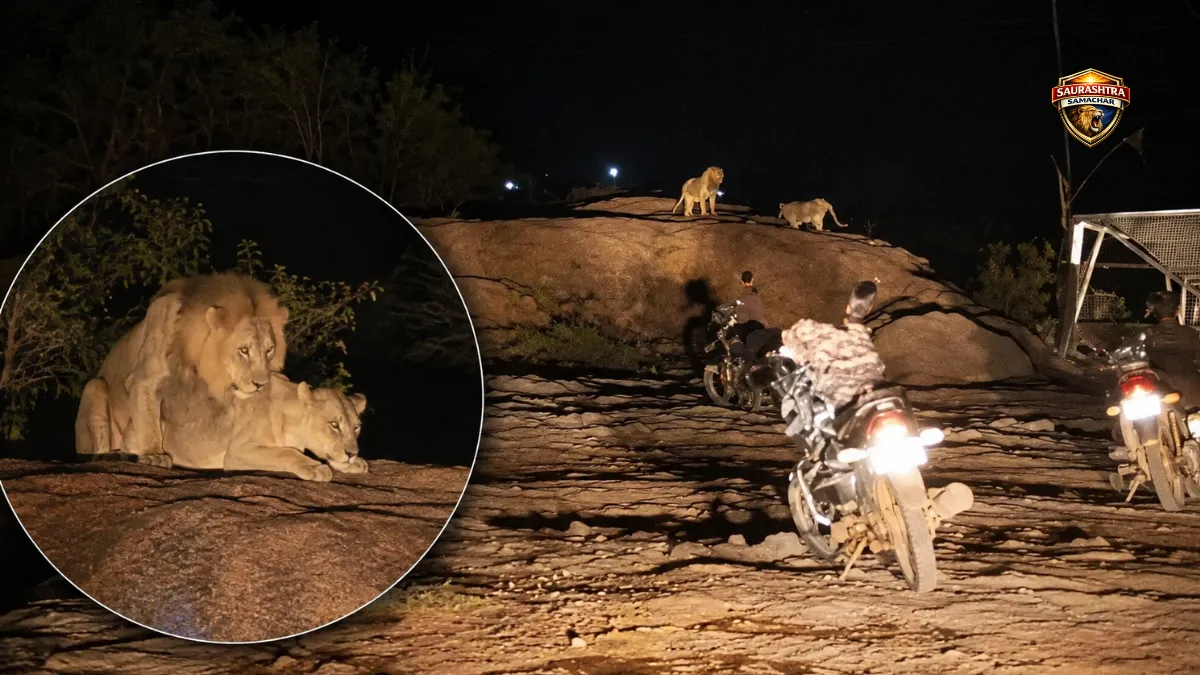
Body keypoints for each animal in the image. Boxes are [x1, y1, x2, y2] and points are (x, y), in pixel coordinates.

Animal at [74, 272, 289, 461]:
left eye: (269, 350)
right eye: (244, 350)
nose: (261, 384)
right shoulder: (143, 378)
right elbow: (148, 421)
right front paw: (154, 454)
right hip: (94, 387)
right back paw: (111, 454)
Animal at [154, 369, 368, 481]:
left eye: (357, 427)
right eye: (334, 424)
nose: (352, 454)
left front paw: (356, 463)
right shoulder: (237, 451)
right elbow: (285, 452)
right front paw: (315, 468)